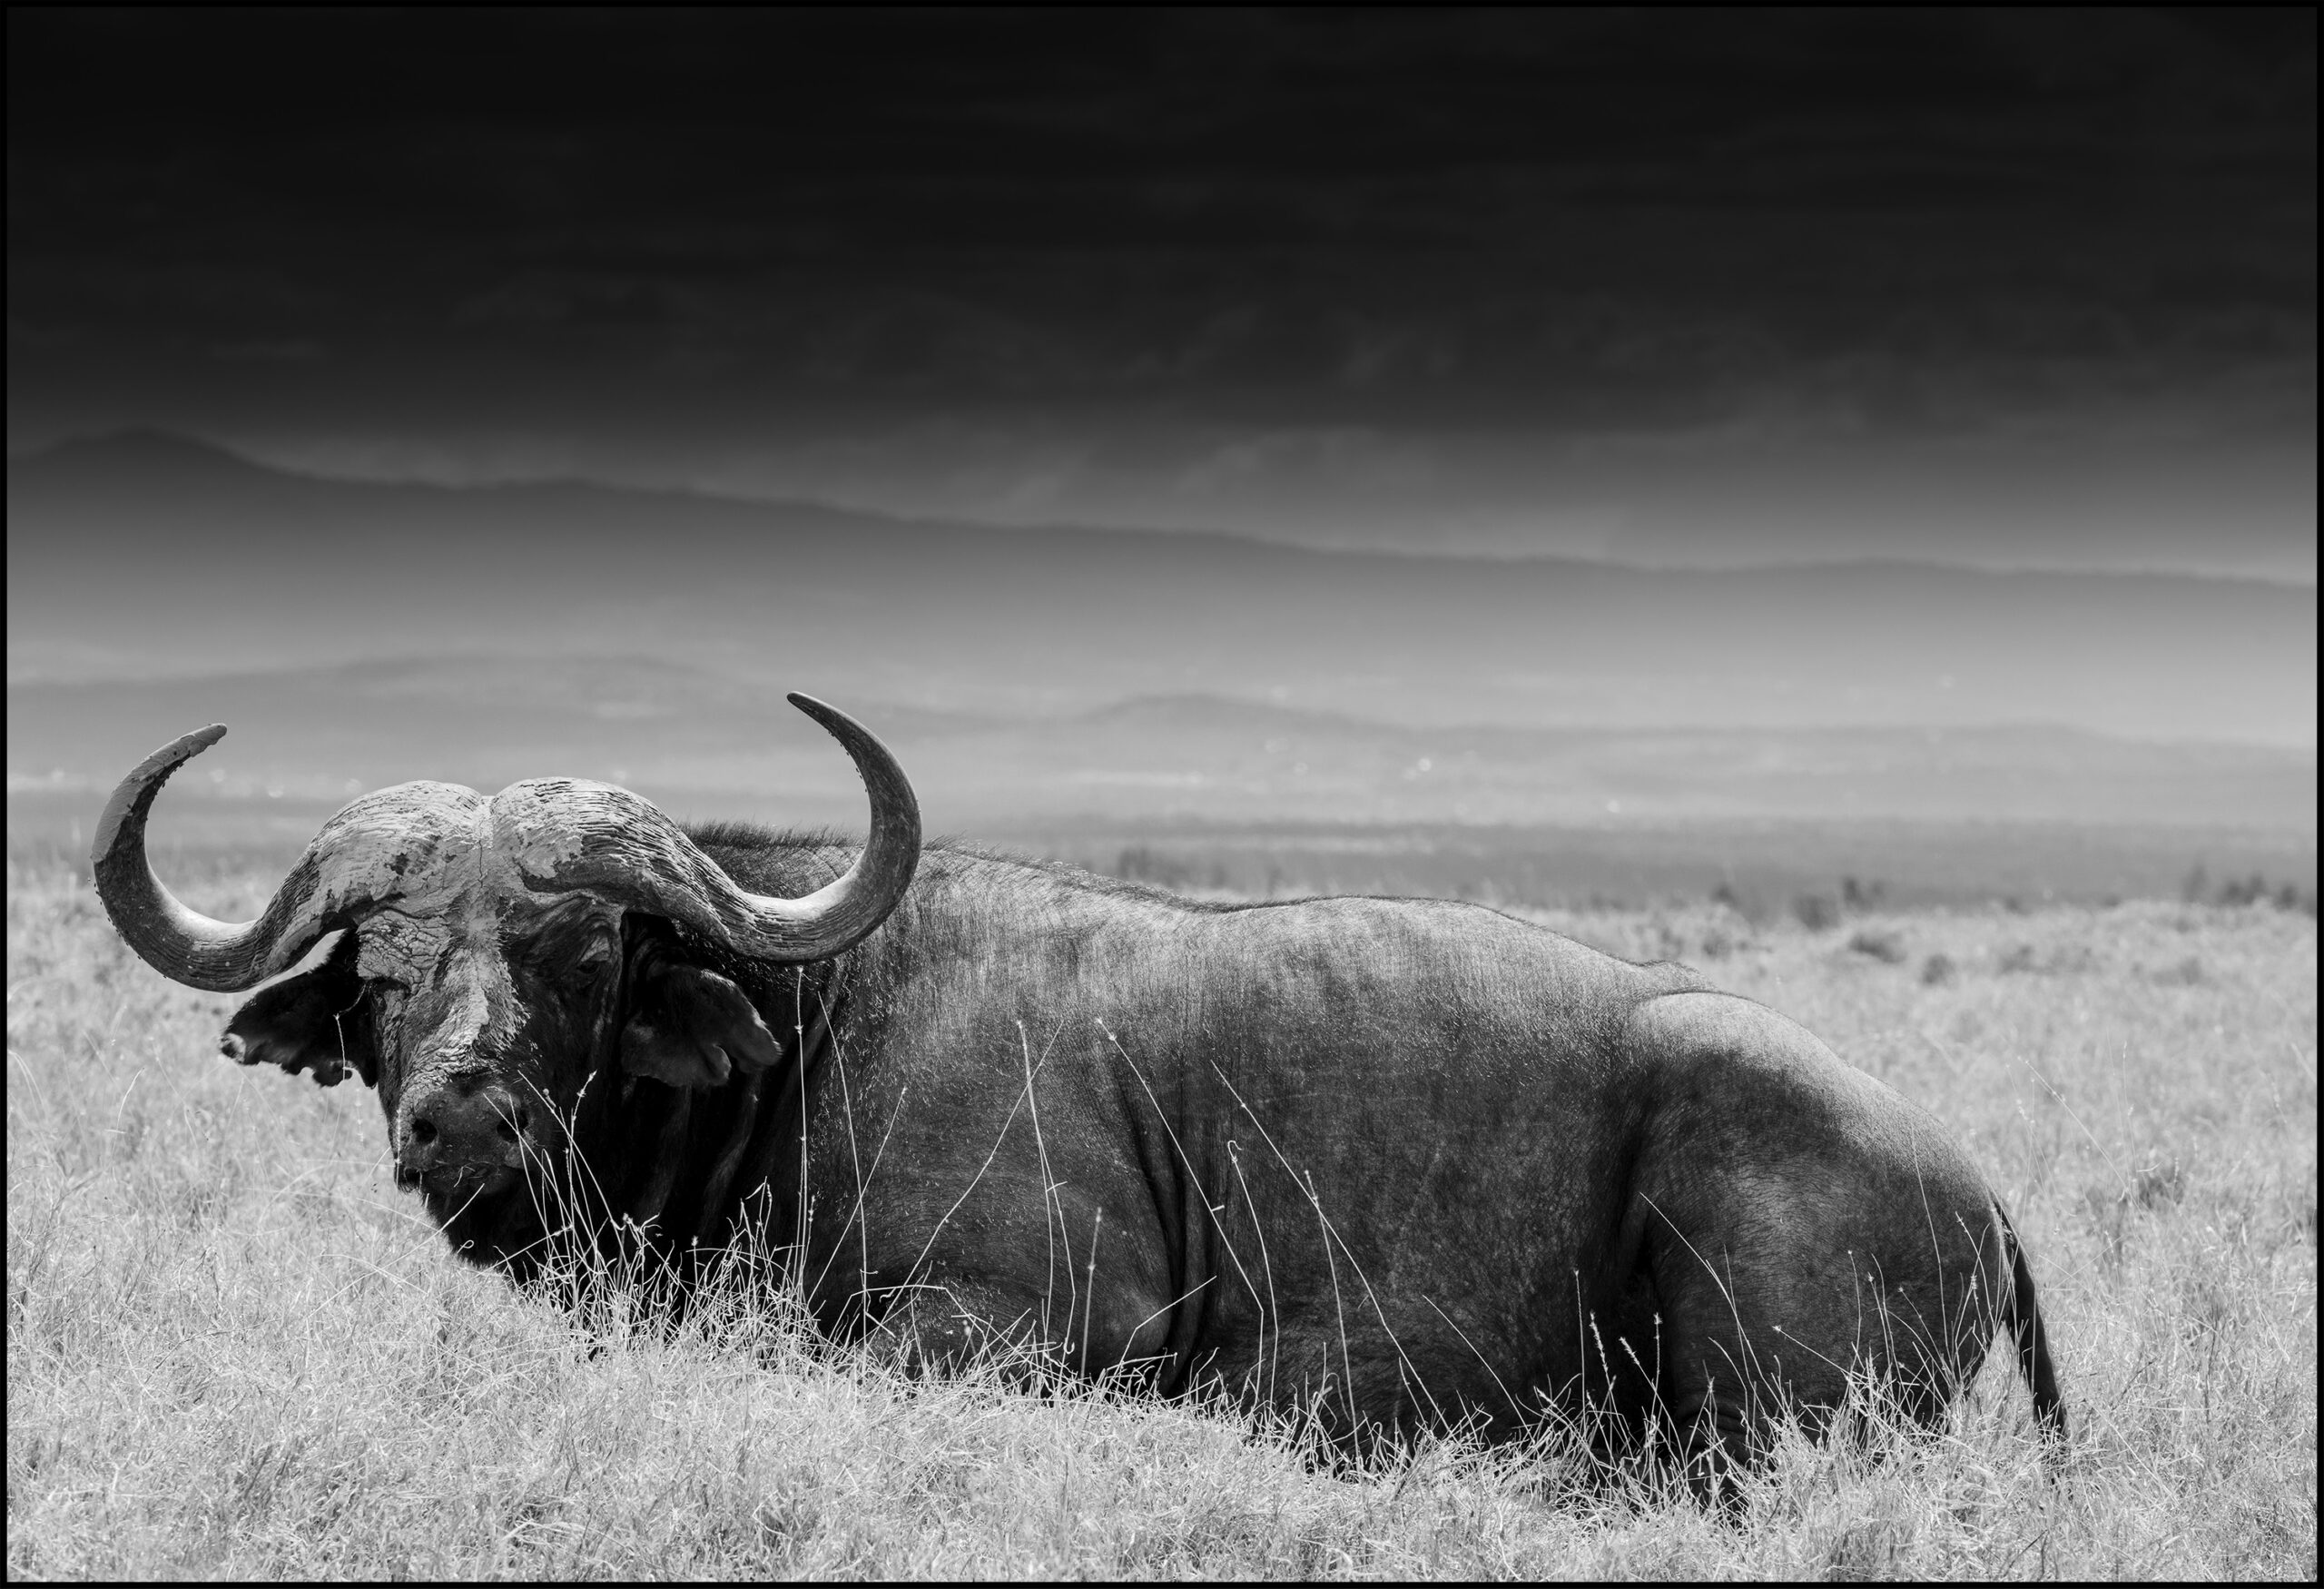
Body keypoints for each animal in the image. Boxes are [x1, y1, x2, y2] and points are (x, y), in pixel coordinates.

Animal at [93, 695, 2063, 1483]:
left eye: (583, 956)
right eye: (382, 971)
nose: (460, 1118)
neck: (812, 1034)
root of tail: (1975, 1191)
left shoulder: (1032, 1323)